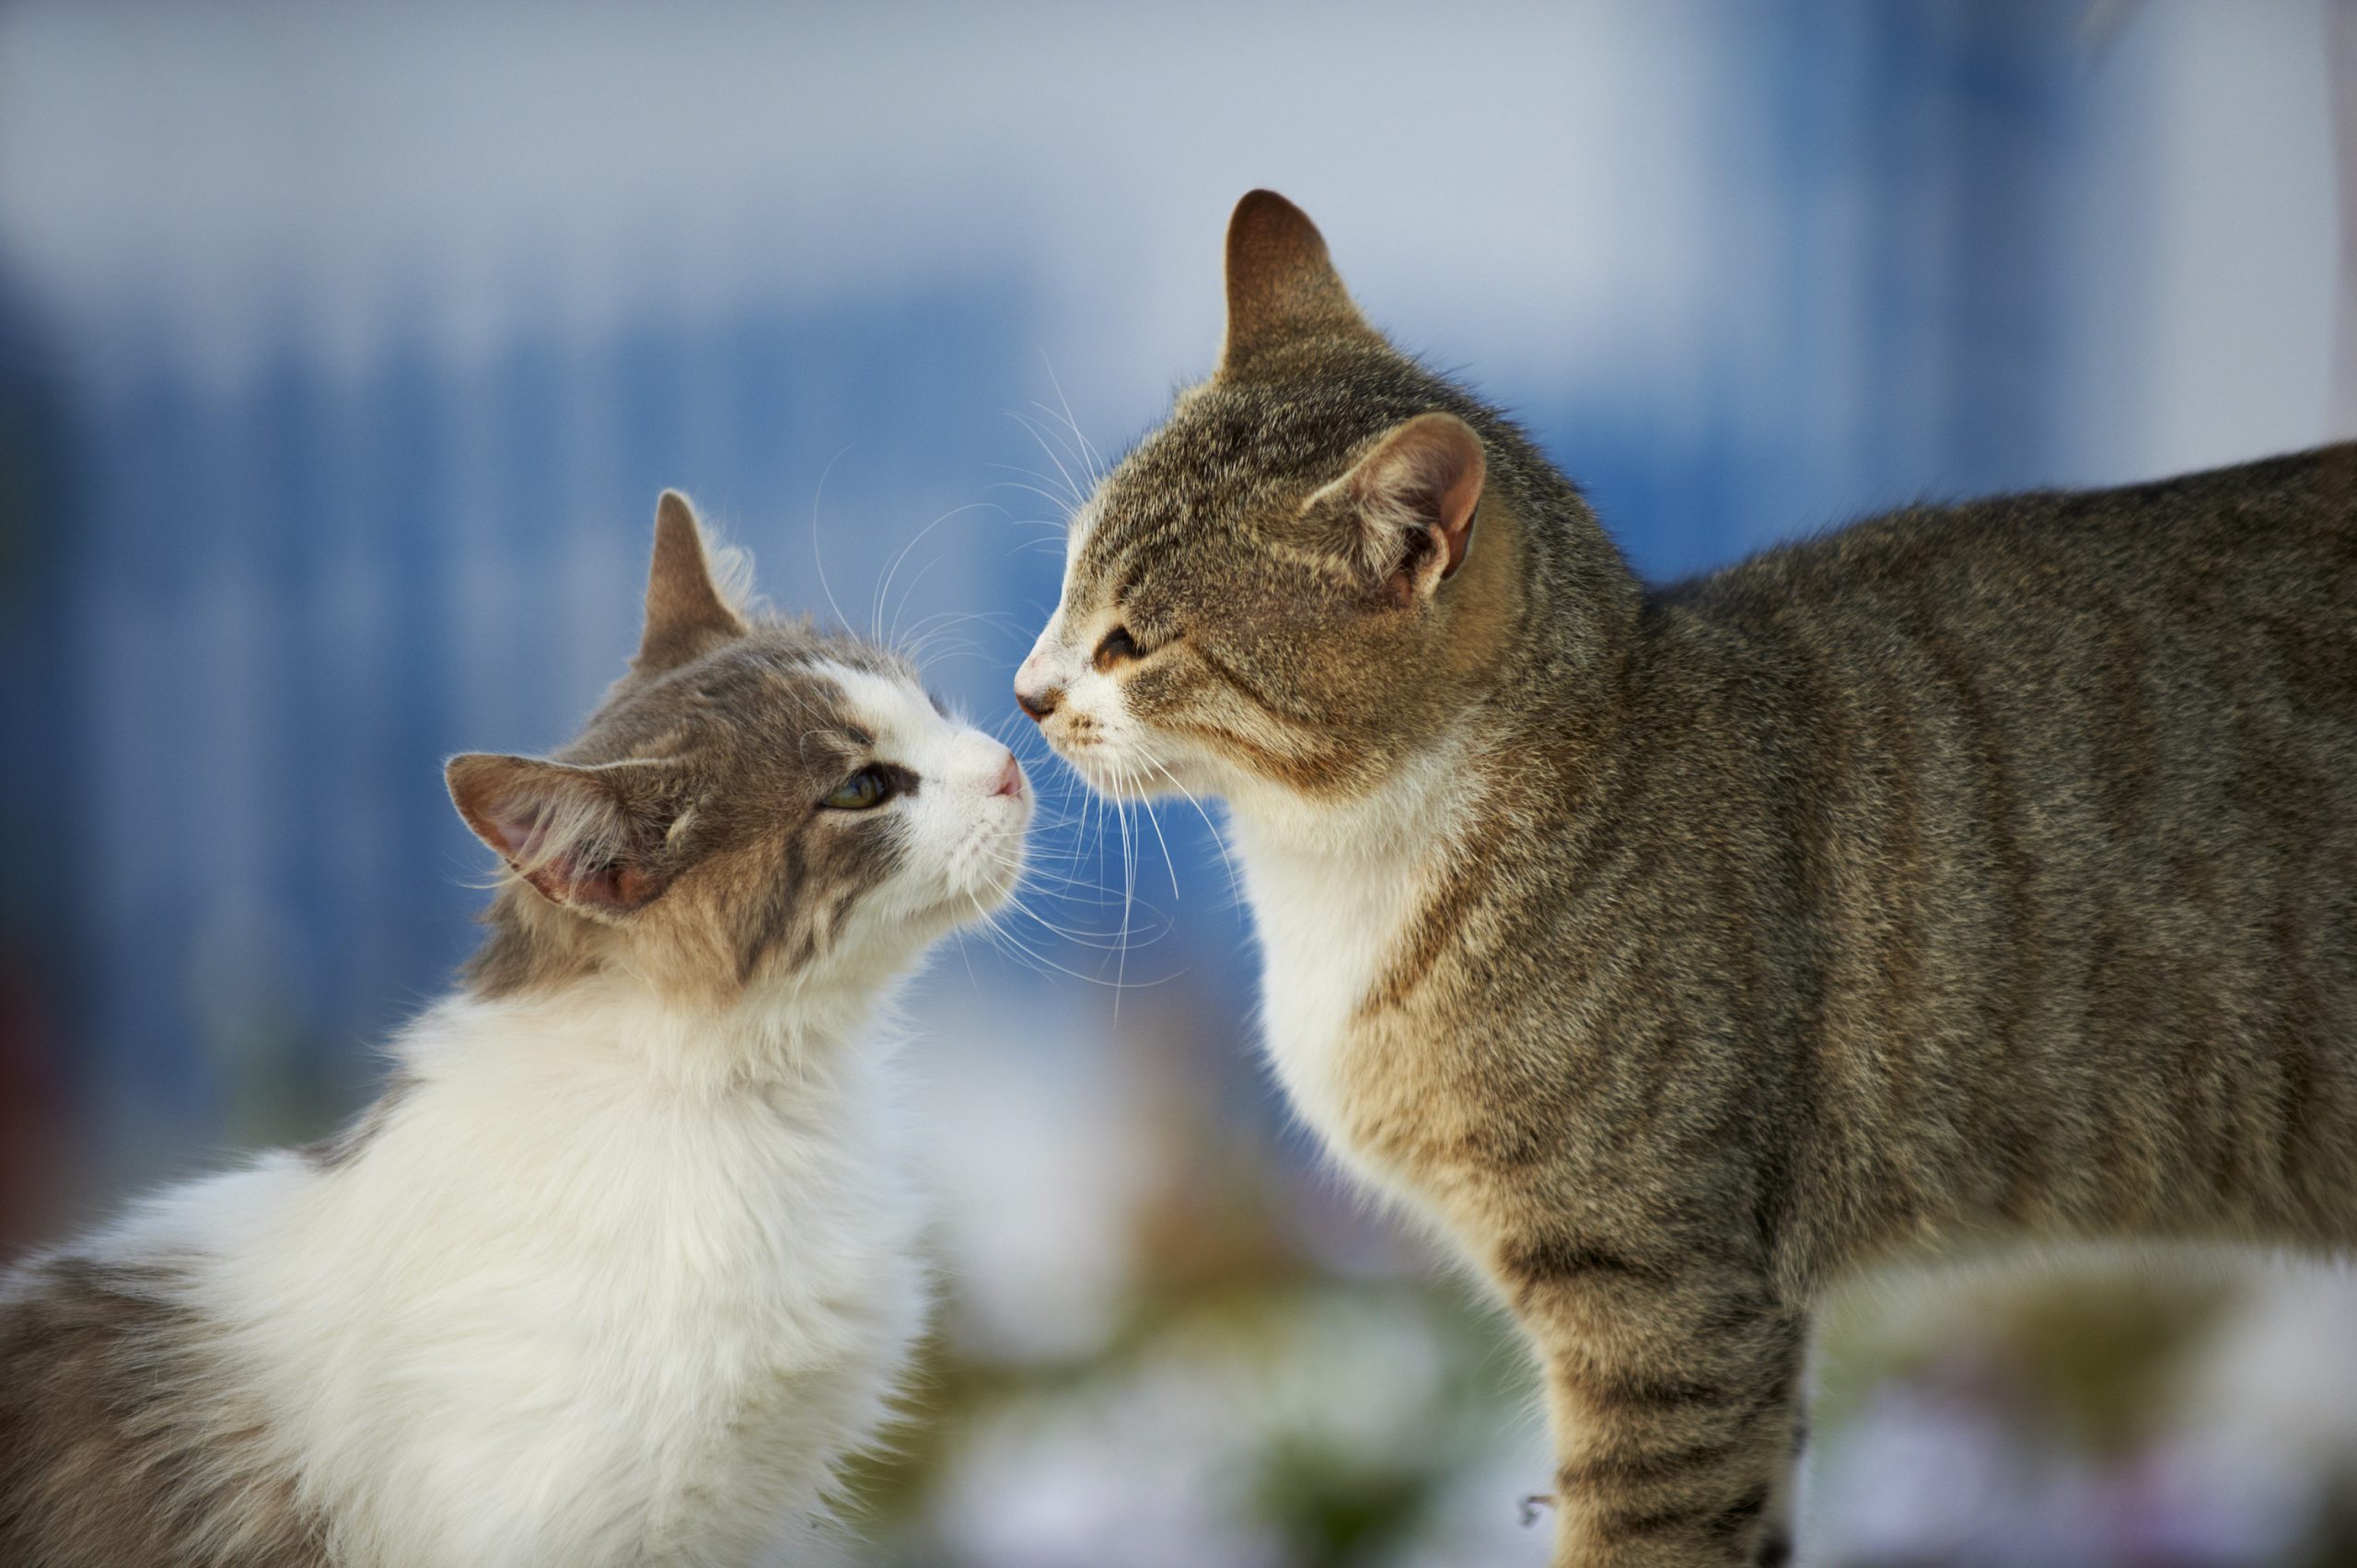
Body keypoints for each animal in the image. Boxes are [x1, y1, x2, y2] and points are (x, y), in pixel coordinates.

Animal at [1008, 190, 2357, 1556]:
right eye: (1067, 583)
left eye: (1136, 641)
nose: (1025, 693)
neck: (1340, 862)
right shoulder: (1747, 1325)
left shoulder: (1665, 1300)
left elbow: (1640, 1526)